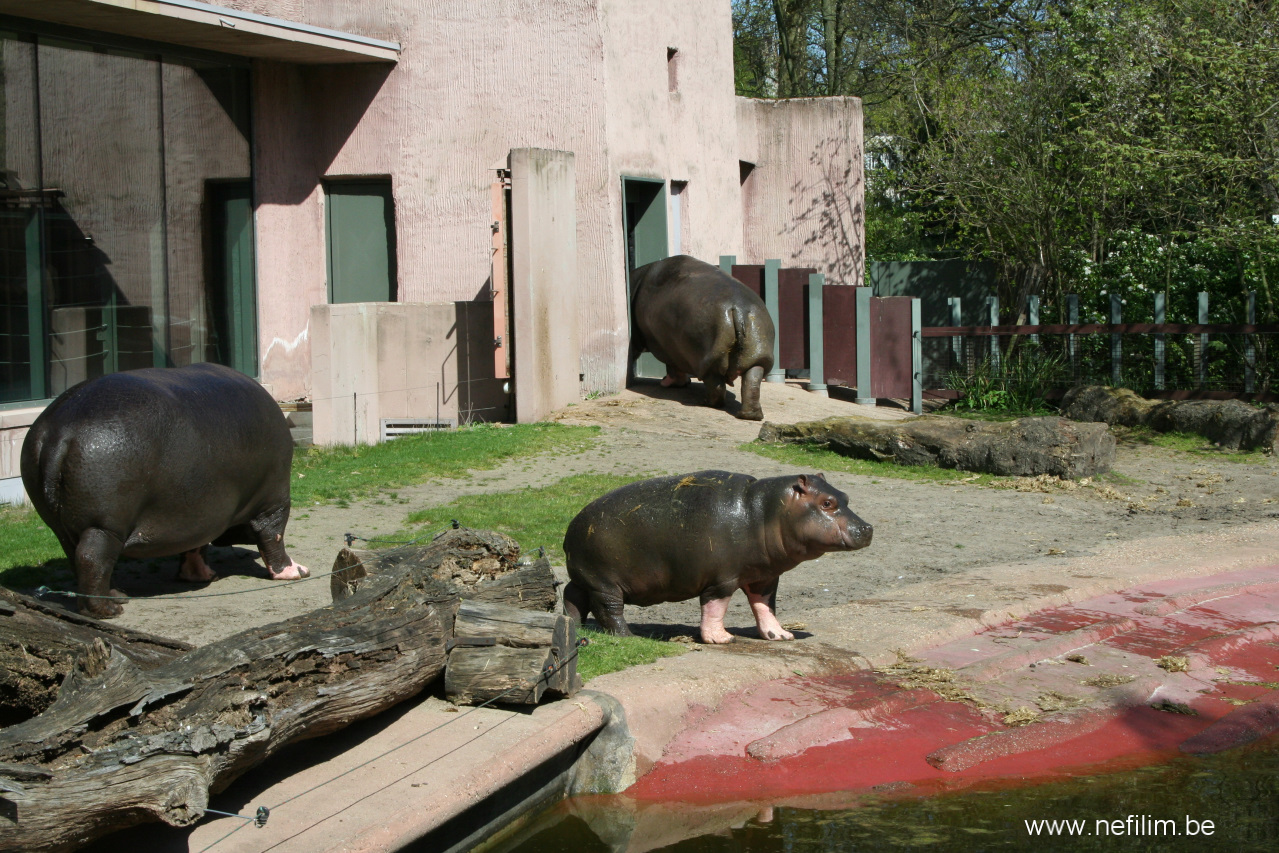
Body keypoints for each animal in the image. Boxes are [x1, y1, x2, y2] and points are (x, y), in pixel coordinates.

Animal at [21, 363, 309, 621]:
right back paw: (110, 610)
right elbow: (273, 536)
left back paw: (117, 595)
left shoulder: (200, 511)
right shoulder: (273, 501)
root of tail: (61, 430)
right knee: (91, 558)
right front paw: (297, 572)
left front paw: (201, 576)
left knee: (79, 559)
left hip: (64, 526)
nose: (301, 571)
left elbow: (195, 545)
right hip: (104, 525)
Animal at [565, 470, 874, 644]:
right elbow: (715, 607)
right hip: (605, 582)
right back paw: (629, 637)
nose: (868, 528)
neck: (764, 511)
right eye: (827, 503)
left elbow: (765, 607)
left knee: (573, 597)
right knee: (608, 609)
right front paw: (722, 639)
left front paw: (781, 636)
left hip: (584, 578)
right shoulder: (722, 579)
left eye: (845, 496)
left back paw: (575, 627)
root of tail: (571, 528)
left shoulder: (765, 577)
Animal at [626, 257, 772, 424]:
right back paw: (751, 415)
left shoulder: (667, 348)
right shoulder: (673, 348)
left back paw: (703, 402)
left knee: (716, 387)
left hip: (707, 359)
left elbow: (672, 368)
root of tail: (738, 307)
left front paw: (668, 383)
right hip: (757, 355)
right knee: (752, 381)